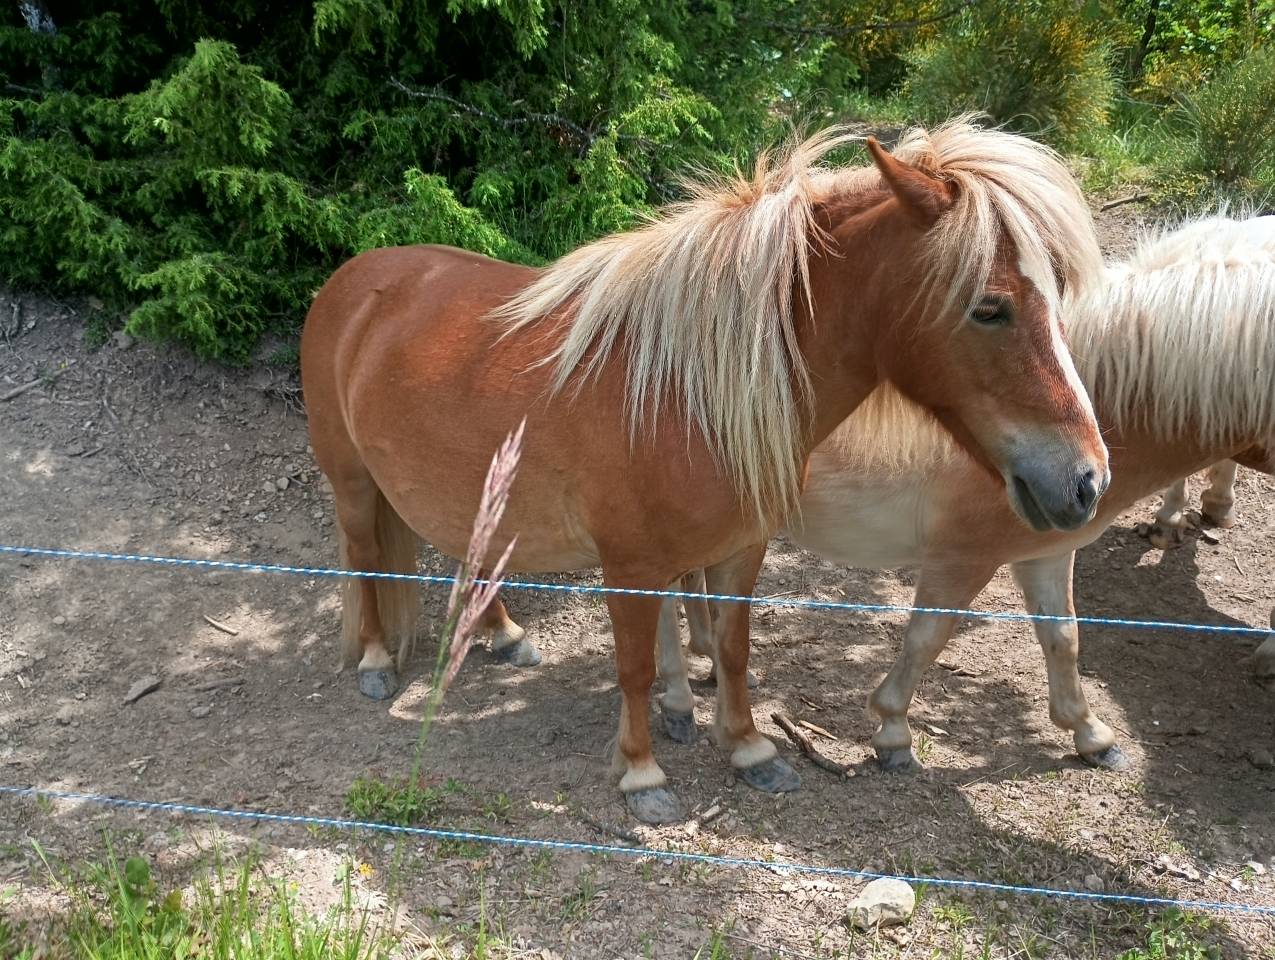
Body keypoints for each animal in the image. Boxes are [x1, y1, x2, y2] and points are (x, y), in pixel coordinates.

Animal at [300, 117, 1109, 823]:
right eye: (989, 308)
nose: (1086, 480)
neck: (683, 392)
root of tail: (354, 277)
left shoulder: (739, 549)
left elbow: (731, 648)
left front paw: (748, 750)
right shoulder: (630, 567)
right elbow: (633, 667)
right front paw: (642, 774)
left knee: (466, 558)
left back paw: (503, 636)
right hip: (352, 483)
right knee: (365, 557)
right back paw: (375, 661)